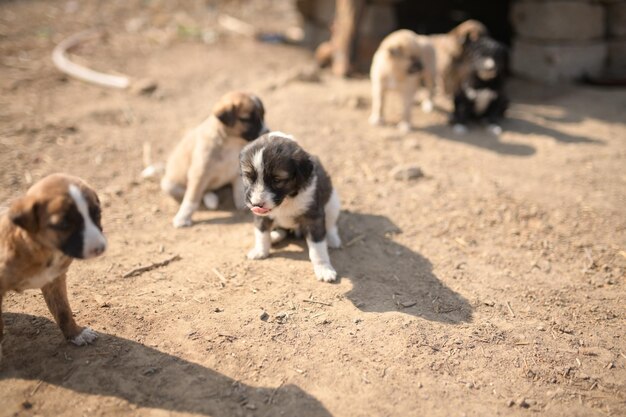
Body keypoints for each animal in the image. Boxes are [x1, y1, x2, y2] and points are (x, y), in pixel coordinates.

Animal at [0, 172, 107, 358]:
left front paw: (76, 334)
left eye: (97, 213)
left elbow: (63, 311)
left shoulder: (54, 280)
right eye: (63, 224)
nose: (99, 248)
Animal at [160, 91, 266, 228]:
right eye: (247, 119)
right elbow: (191, 199)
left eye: (263, 115)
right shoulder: (199, 174)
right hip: (170, 184)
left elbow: (238, 190)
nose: (267, 131)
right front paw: (182, 218)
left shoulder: (238, 171)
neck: (231, 143)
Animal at [238, 132, 338, 282]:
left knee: (331, 224)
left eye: (277, 180)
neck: (286, 199)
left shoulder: (313, 218)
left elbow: (318, 247)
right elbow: (261, 233)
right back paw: (274, 237)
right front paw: (260, 251)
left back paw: (332, 239)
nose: (257, 204)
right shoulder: (262, 216)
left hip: (333, 202)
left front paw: (324, 268)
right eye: (249, 177)